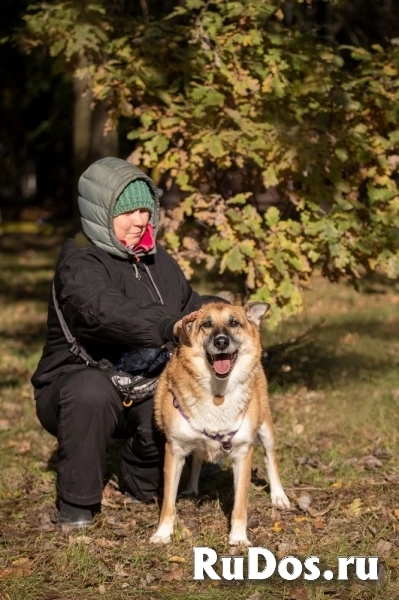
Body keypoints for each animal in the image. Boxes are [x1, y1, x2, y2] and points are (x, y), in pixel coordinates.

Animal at [151, 302, 290, 548]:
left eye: (234, 322)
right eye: (206, 324)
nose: (221, 342)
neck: (218, 393)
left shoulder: (243, 453)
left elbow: (240, 505)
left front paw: (239, 536)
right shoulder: (174, 450)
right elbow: (168, 501)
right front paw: (163, 533)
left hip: (265, 427)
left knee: (270, 458)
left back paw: (278, 496)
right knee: (197, 458)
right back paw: (192, 488)